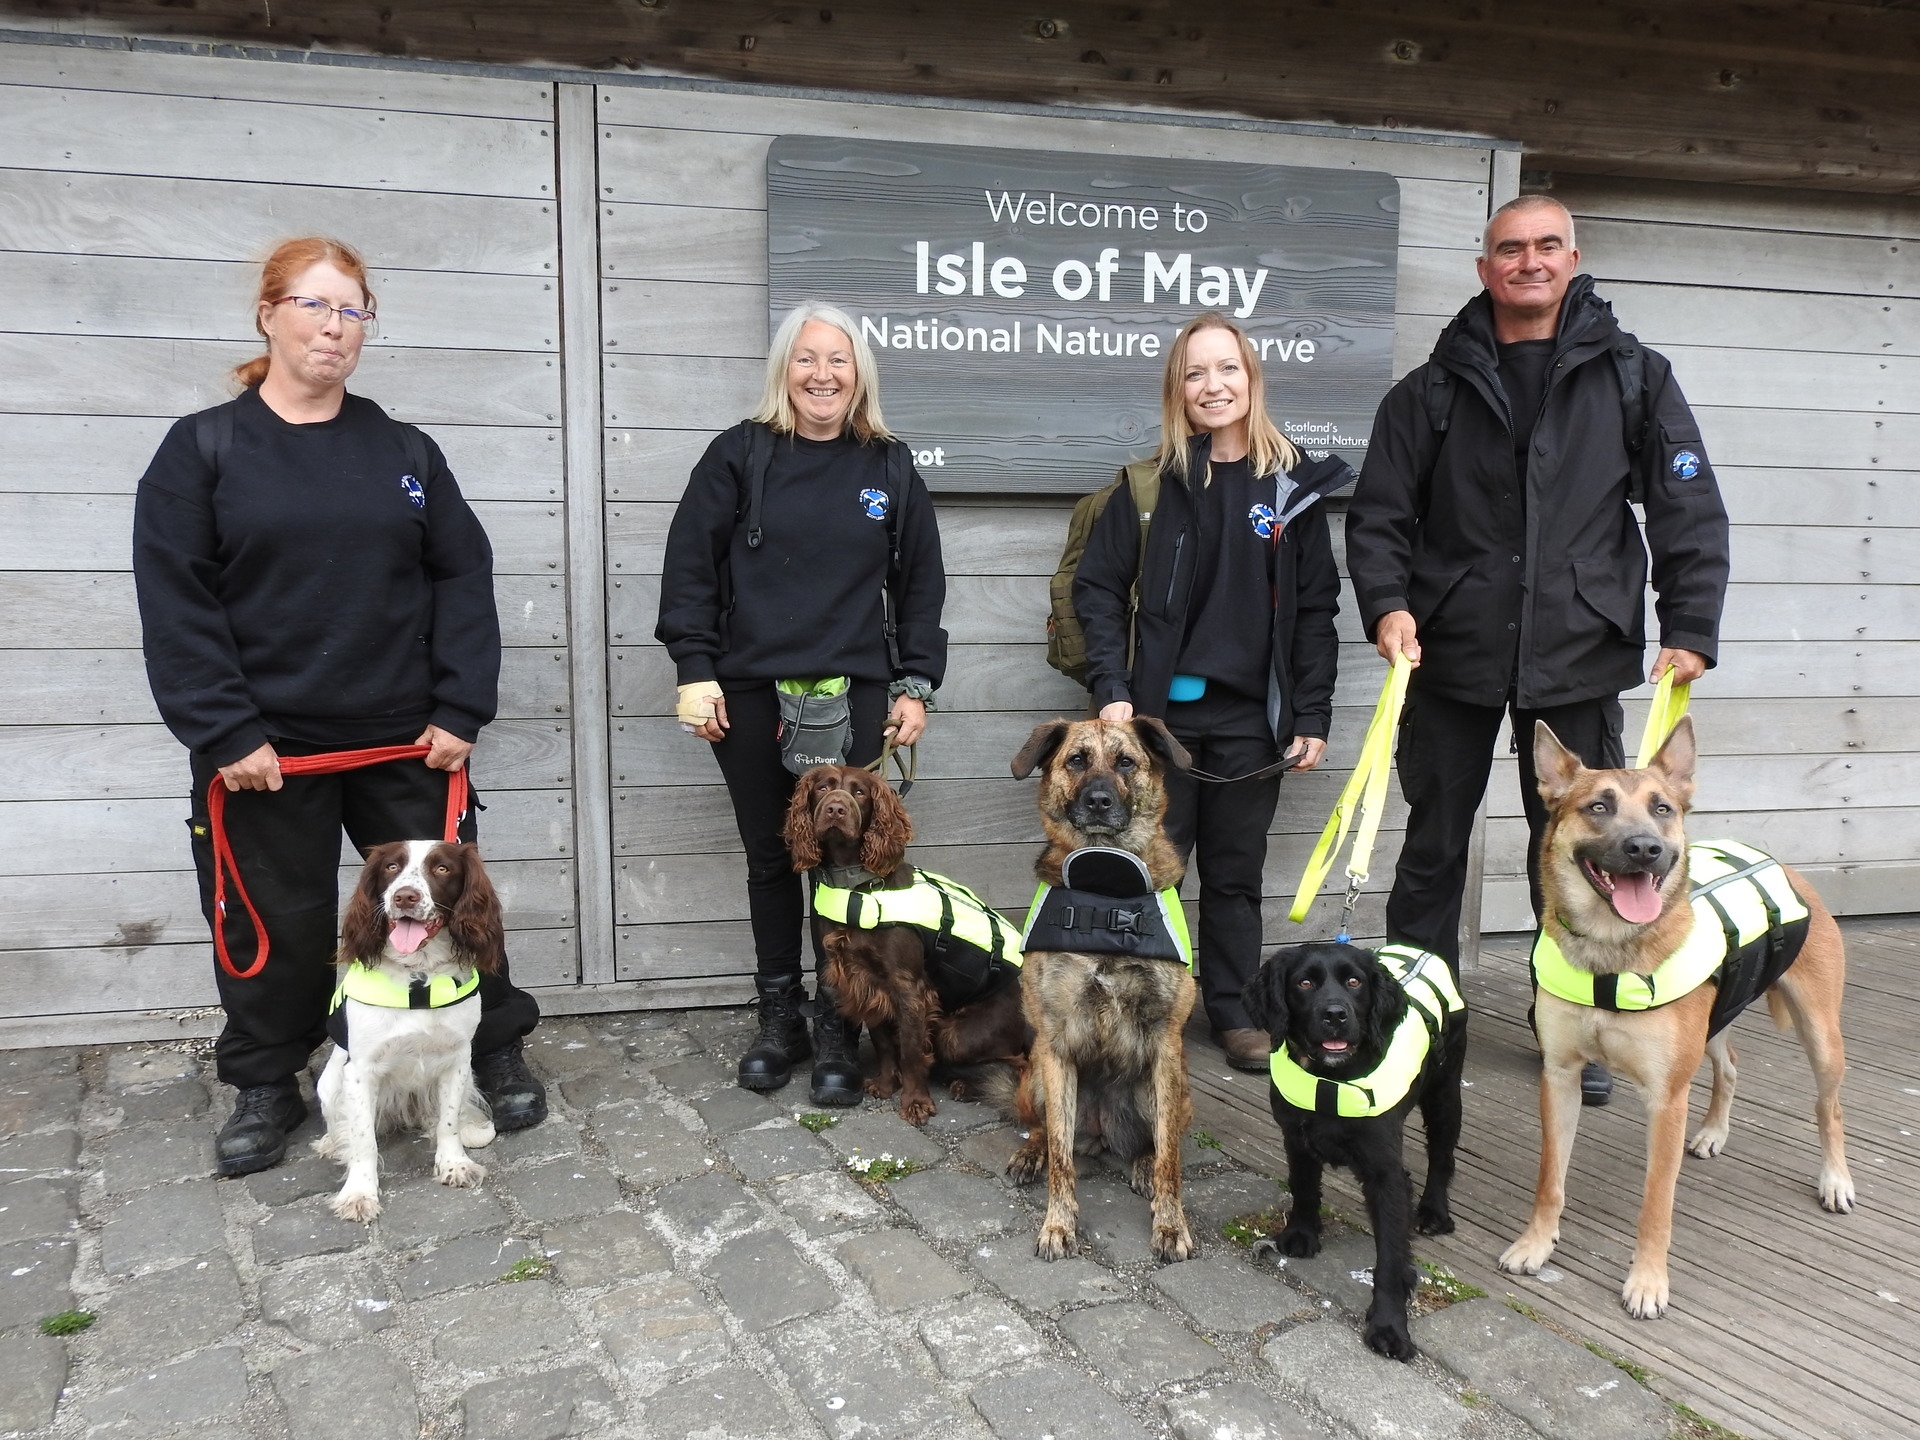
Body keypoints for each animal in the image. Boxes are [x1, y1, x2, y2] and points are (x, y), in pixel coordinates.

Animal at [998, 721, 1190, 1259]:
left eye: (1126, 762)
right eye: (1077, 761)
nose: (1100, 801)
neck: (1105, 892)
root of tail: (1103, 1133)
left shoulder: (1166, 1045)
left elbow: (1171, 1158)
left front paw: (1170, 1225)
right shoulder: (1056, 1045)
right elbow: (1062, 1160)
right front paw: (1059, 1224)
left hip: (1170, 1087)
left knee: (1157, 1144)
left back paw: (1142, 1166)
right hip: (1038, 1077)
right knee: (1047, 1132)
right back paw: (1030, 1153)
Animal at [1244, 940, 1466, 1359]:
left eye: (1354, 982)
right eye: (1304, 983)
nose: (1335, 1015)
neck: (1330, 1078)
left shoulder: (1386, 1174)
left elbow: (1391, 1258)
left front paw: (1389, 1327)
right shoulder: (1295, 1136)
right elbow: (1304, 1187)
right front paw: (1301, 1233)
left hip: (1445, 1091)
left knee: (1442, 1156)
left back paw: (1434, 1212)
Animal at [1505, 718, 1850, 1328]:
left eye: (1662, 808)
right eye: (1598, 806)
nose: (1646, 849)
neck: (1610, 953)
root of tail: (1779, 865)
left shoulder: (1665, 1100)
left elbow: (1656, 1204)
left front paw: (1647, 1282)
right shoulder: (1561, 1077)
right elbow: (1550, 1179)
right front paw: (1536, 1244)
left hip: (1821, 1039)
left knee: (1828, 1107)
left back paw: (1835, 1180)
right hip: (1715, 1021)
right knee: (1730, 1067)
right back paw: (1714, 1133)